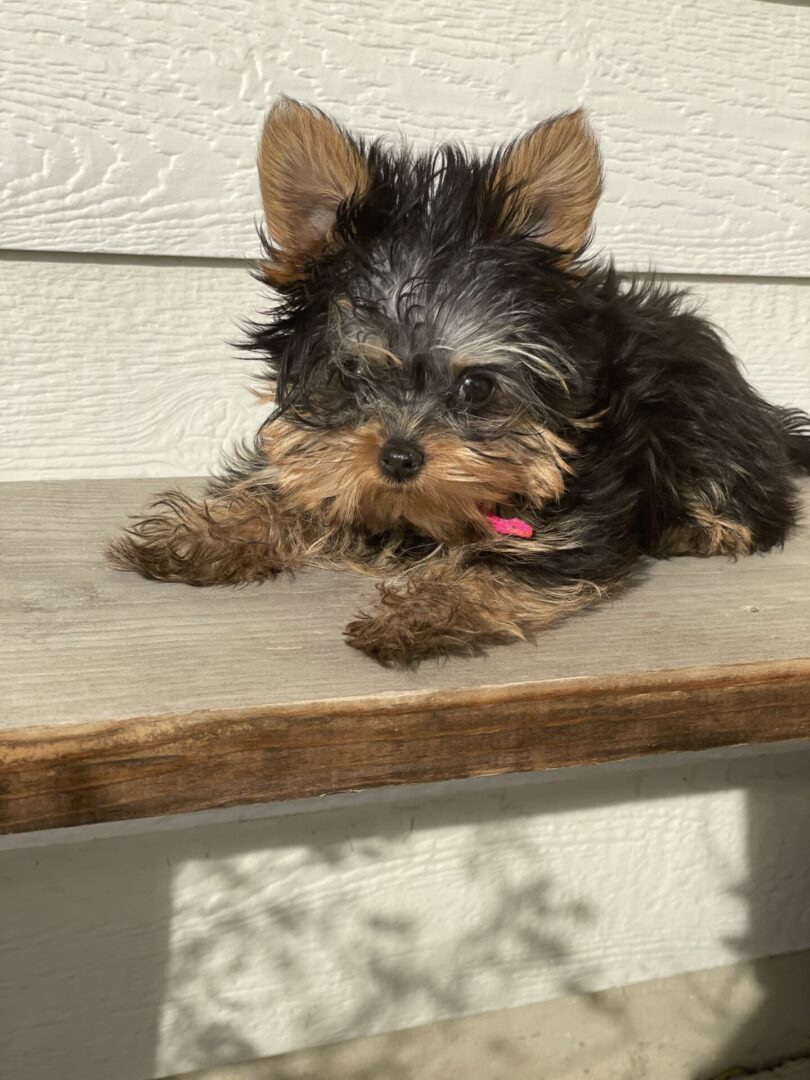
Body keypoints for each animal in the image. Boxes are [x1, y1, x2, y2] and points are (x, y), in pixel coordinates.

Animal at [109, 97, 810, 660]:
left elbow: (506, 564)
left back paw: (697, 525)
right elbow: (293, 483)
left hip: (697, 416)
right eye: (350, 372)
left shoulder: (577, 512)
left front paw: (424, 609)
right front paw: (205, 533)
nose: (398, 457)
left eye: (476, 388)